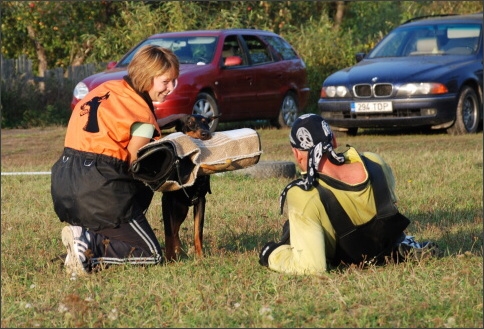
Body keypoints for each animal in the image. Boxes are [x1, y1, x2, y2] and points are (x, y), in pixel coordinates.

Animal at [161, 114, 216, 260]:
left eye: (205, 122)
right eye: (190, 123)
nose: (206, 133)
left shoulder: (200, 200)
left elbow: (198, 231)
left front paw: (200, 256)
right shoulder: (166, 200)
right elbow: (168, 232)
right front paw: (169, 258)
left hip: (182, 209)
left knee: (176, 230)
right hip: (178, 208)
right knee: (173, 230)